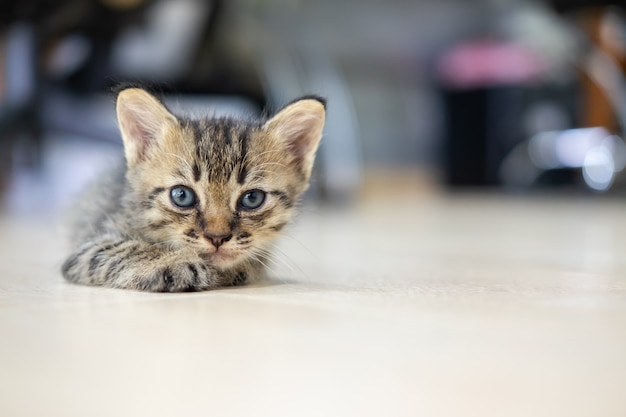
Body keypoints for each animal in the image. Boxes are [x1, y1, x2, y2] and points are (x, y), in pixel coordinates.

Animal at [62, 86, 326, 290]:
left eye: (252, 199)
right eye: (182, 196)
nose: (217, 237)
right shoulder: (86, 249)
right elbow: (121, 248)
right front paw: (170, 261)